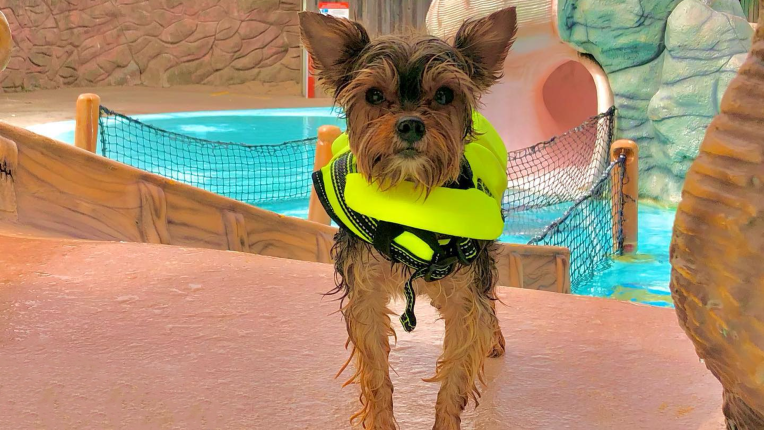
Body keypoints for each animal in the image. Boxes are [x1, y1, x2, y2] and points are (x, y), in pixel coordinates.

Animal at [298, 7, 520, 430]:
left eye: (445, 94)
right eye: (373, 95)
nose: (411, 123)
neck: (410, 199)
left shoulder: (465, 299)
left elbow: (455, 376)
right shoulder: (365, 293)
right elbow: (375, 374)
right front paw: (381, 420)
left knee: (491, 300)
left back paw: (495, 337)